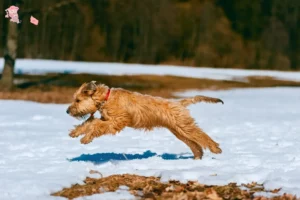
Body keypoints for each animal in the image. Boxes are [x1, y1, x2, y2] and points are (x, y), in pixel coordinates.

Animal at [67, 81, 224, 159]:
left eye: (77, 100)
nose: (67, 111)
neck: (106, 98)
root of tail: (179, 103)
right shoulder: (107, 119)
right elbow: (90, 122)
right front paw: (76, 132)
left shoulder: (117, 121)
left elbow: (96, 125)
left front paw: (86, 138)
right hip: (178, 131)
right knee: (195, 144)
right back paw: (197, 157)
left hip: (184, 126)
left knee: (201, 136)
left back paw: (215, 148)